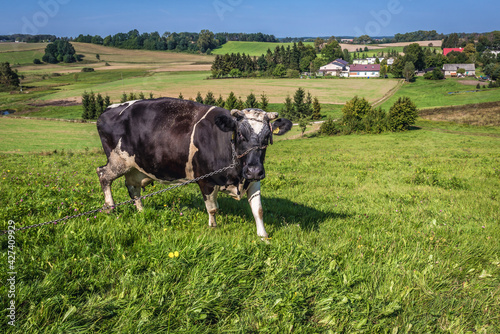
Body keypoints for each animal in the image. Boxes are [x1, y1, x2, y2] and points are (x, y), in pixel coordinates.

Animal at [95, 96, 292, 237]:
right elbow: (212, 208)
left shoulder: (252, 179)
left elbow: (258, 210)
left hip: (135, 167)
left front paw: (263, 236)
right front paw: (213, 228)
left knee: (132, 187)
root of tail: (108, 110)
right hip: (117, 161)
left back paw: (142, 211)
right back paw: (110, 207)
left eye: (267, 137)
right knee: (103, 175)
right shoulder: (206, 180)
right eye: (240, 134)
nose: (254, 170)